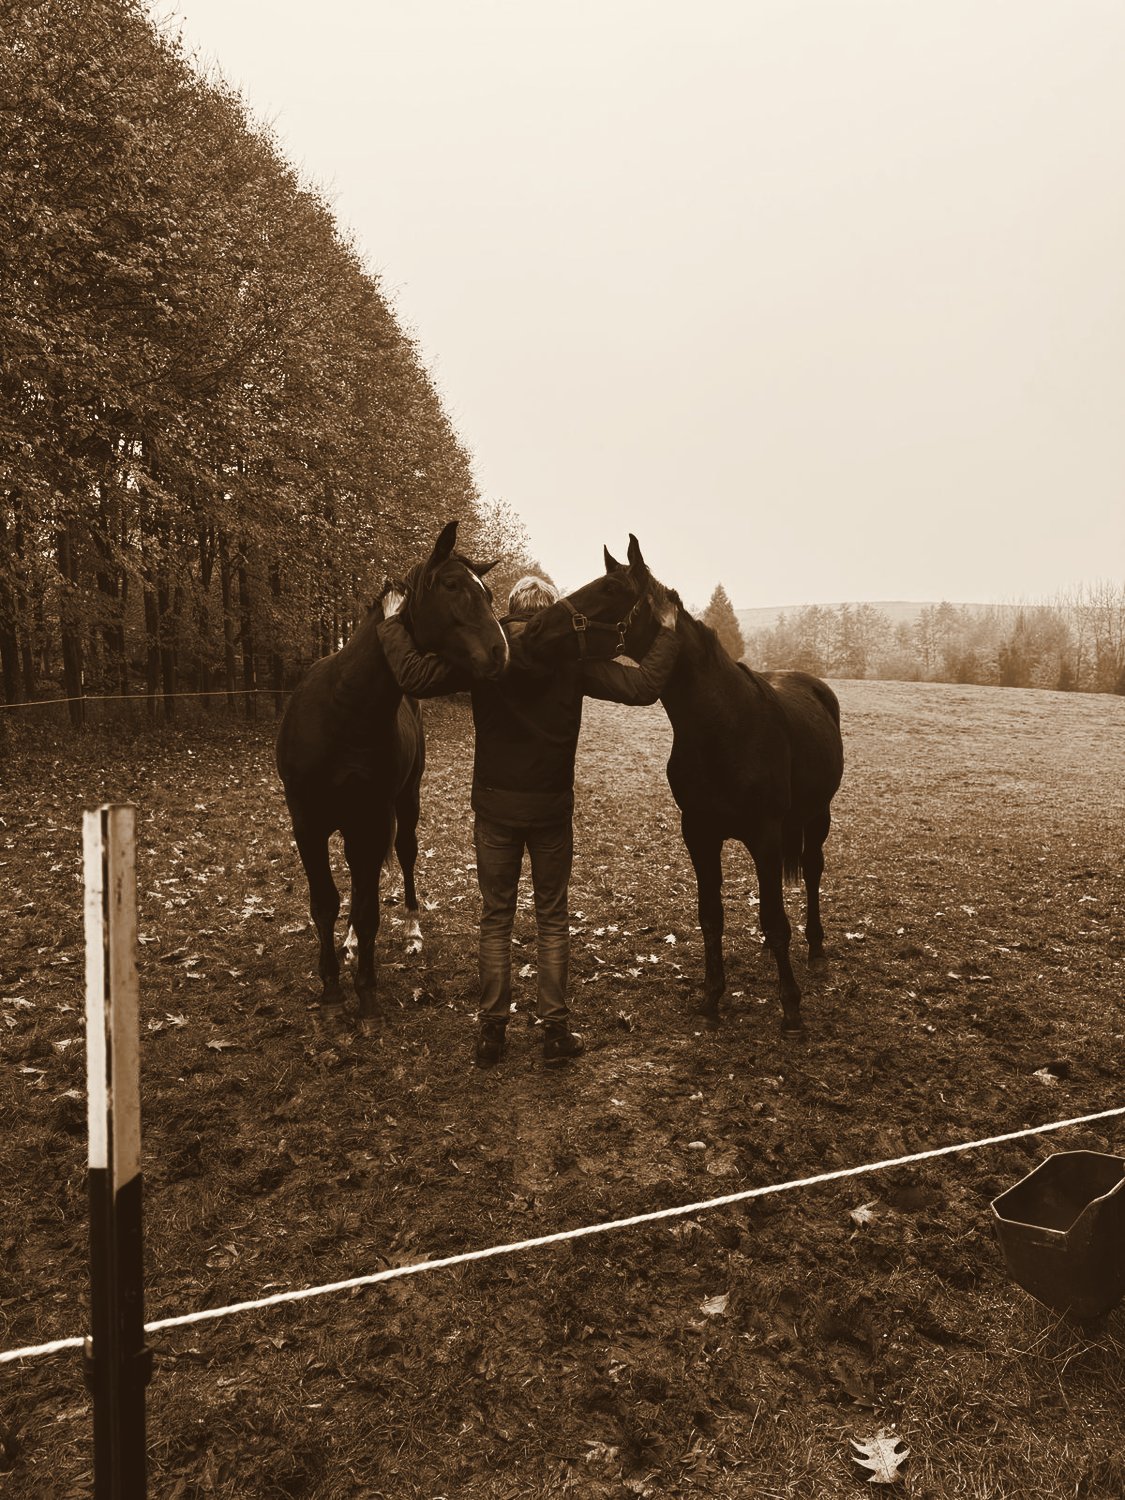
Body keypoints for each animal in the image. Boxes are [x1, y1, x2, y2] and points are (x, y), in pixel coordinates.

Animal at [276, 520, 508, 1031]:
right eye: (452, 585)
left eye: (487, 592)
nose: (501, 653)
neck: (343, 709)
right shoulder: (307, 823)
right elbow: (325, 903)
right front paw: (332, 991)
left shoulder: (374, 817)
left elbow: (368, 910)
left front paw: (366, 996)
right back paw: (347, 945)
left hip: (402, 807)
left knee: (402, 858)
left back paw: (411, 931)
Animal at [607, 536, 844, 1035]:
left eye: (608, 593)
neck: (724, 726)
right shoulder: (699, 834)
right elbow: (711, 916)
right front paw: (712, 997)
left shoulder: (765, 835)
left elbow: (776, 918)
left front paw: (790, 1008)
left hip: (817, 816)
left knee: (812, 871)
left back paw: (815, 950)